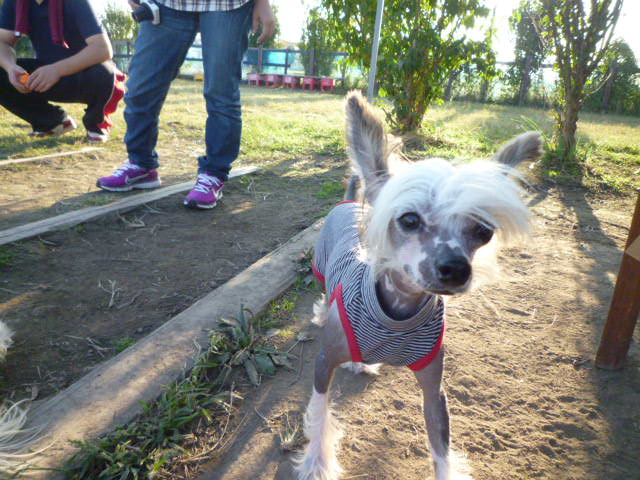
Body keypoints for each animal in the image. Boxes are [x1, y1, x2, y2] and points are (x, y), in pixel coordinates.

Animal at [294, 91, 542, 480]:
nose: (456, 268)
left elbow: (441, 446)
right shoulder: (323, 364)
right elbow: (320, 416)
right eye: (409, 219)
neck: (398, 313)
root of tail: (349, 199)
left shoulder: (434, 389)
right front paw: (316, 462)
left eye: (483, 231)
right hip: (322, 273)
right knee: (323, 293)